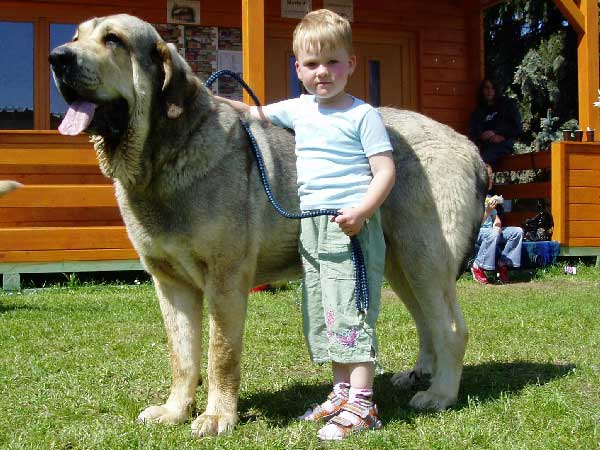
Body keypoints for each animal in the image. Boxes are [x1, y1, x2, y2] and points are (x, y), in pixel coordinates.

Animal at [48, 14, 488, 436]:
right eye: (76, 36)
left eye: (113, 40)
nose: (57, 57)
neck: (163, 157)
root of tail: (468, 146)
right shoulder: (170, 284)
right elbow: (182, 355)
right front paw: (174, 411)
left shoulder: (225, 278)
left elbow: (220, 354)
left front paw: (216, 417)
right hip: (399, 264)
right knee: (426, 321)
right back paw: (420, 374)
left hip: (422, 257)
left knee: (451, 327)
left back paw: (440, 393)